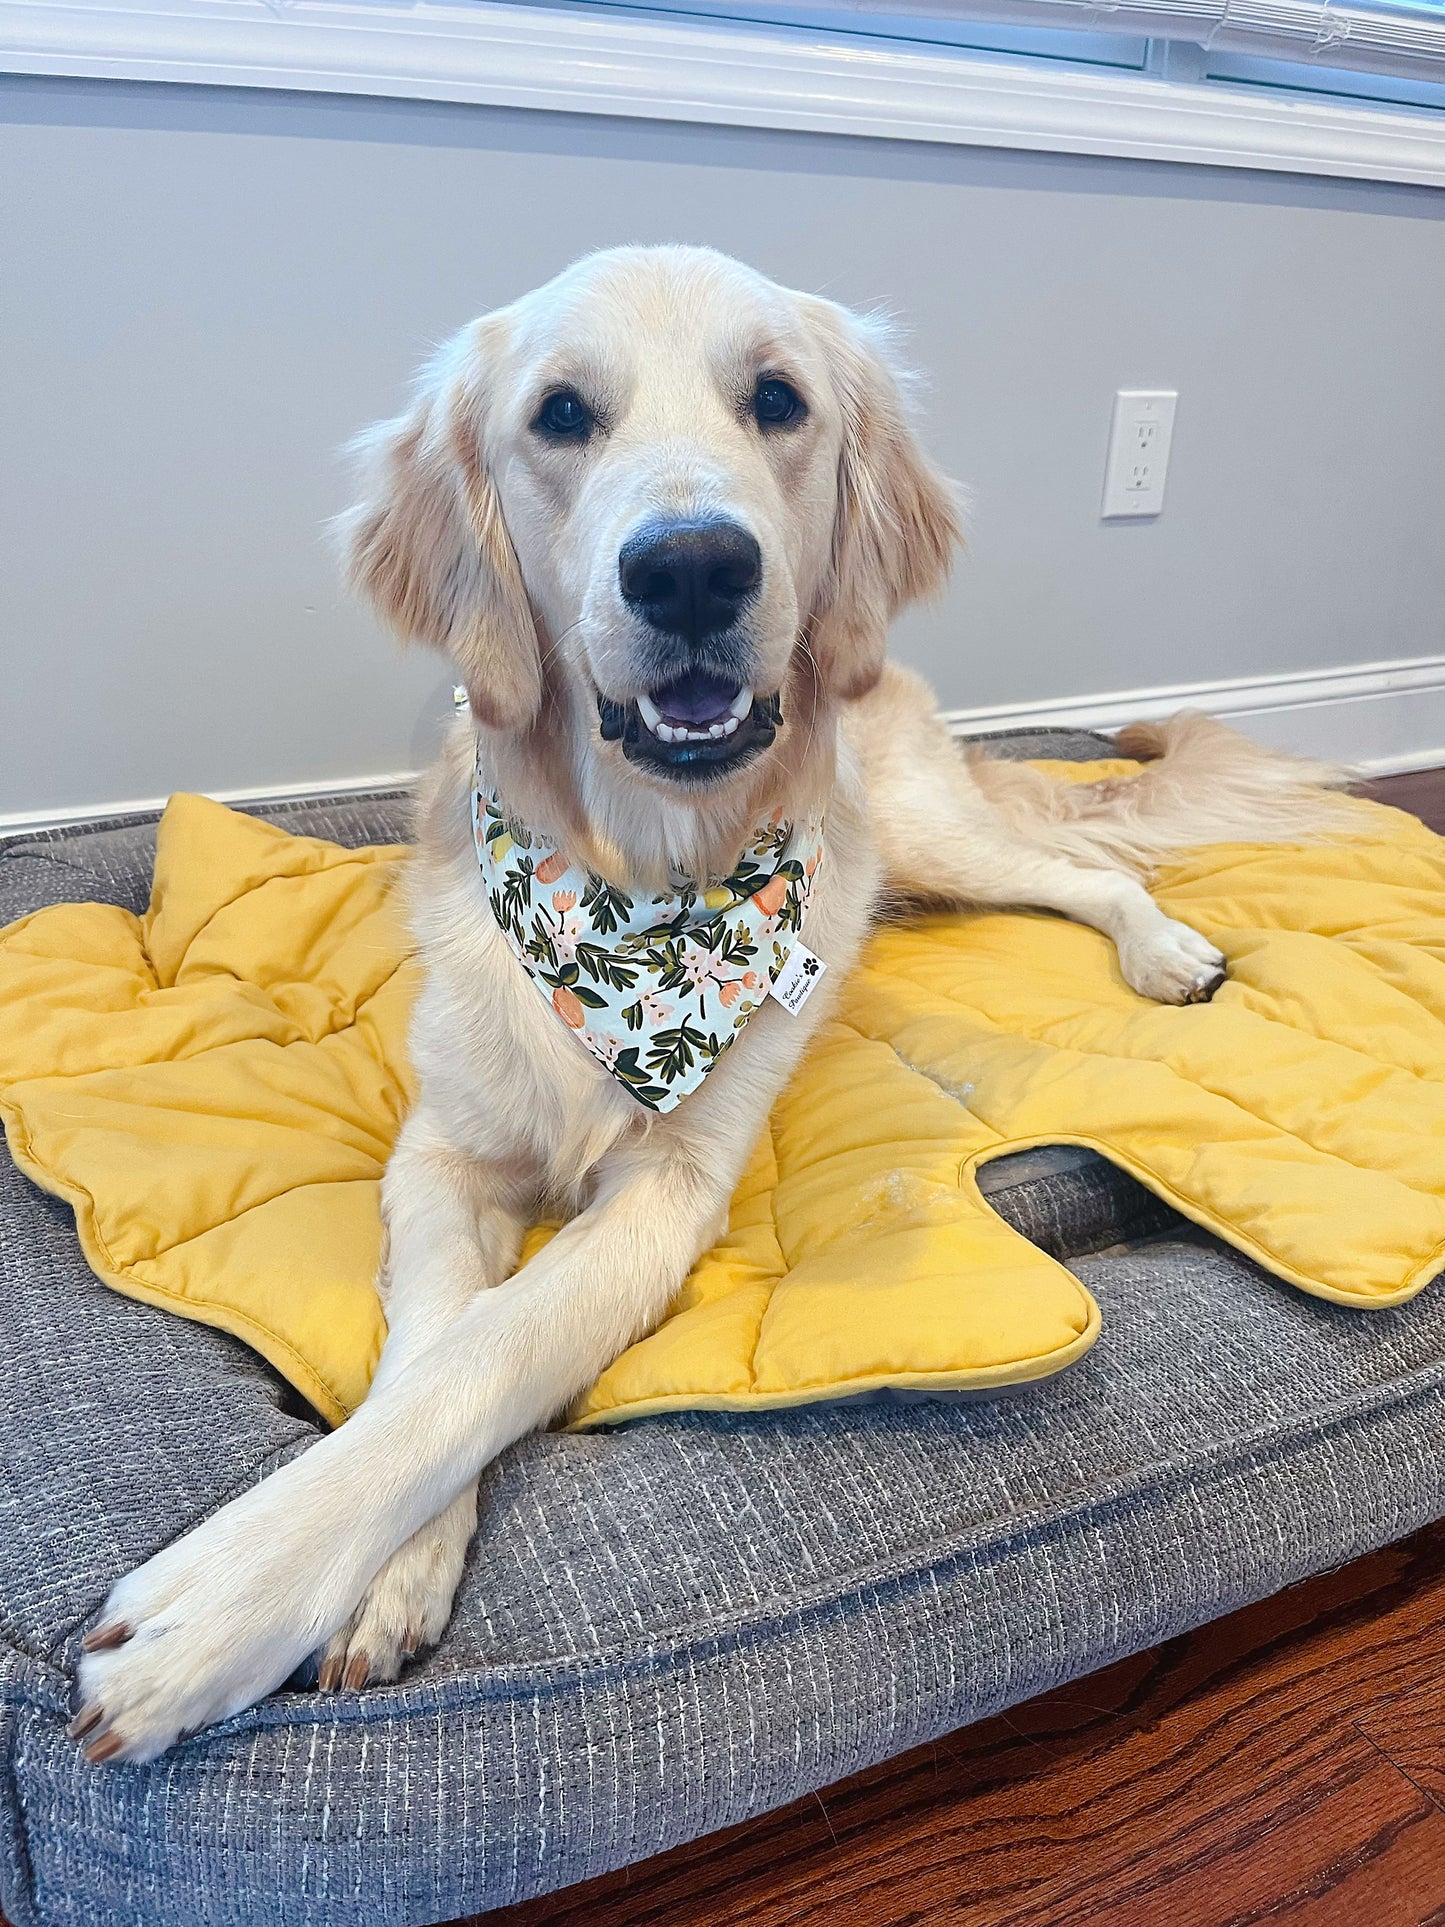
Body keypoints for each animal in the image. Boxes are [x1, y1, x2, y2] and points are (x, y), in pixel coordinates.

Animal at [73, 244, 1348, 1765]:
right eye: (560, 414)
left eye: (778, 399)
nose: (691, 564)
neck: (637, 888)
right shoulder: (440, 1148)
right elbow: (431, 1336)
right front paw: (386, 1564)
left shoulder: (673, 1190)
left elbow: (497, 1344)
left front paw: (219, 1605)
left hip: (929, 832)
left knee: (1091, 867)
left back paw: (1165, 950)